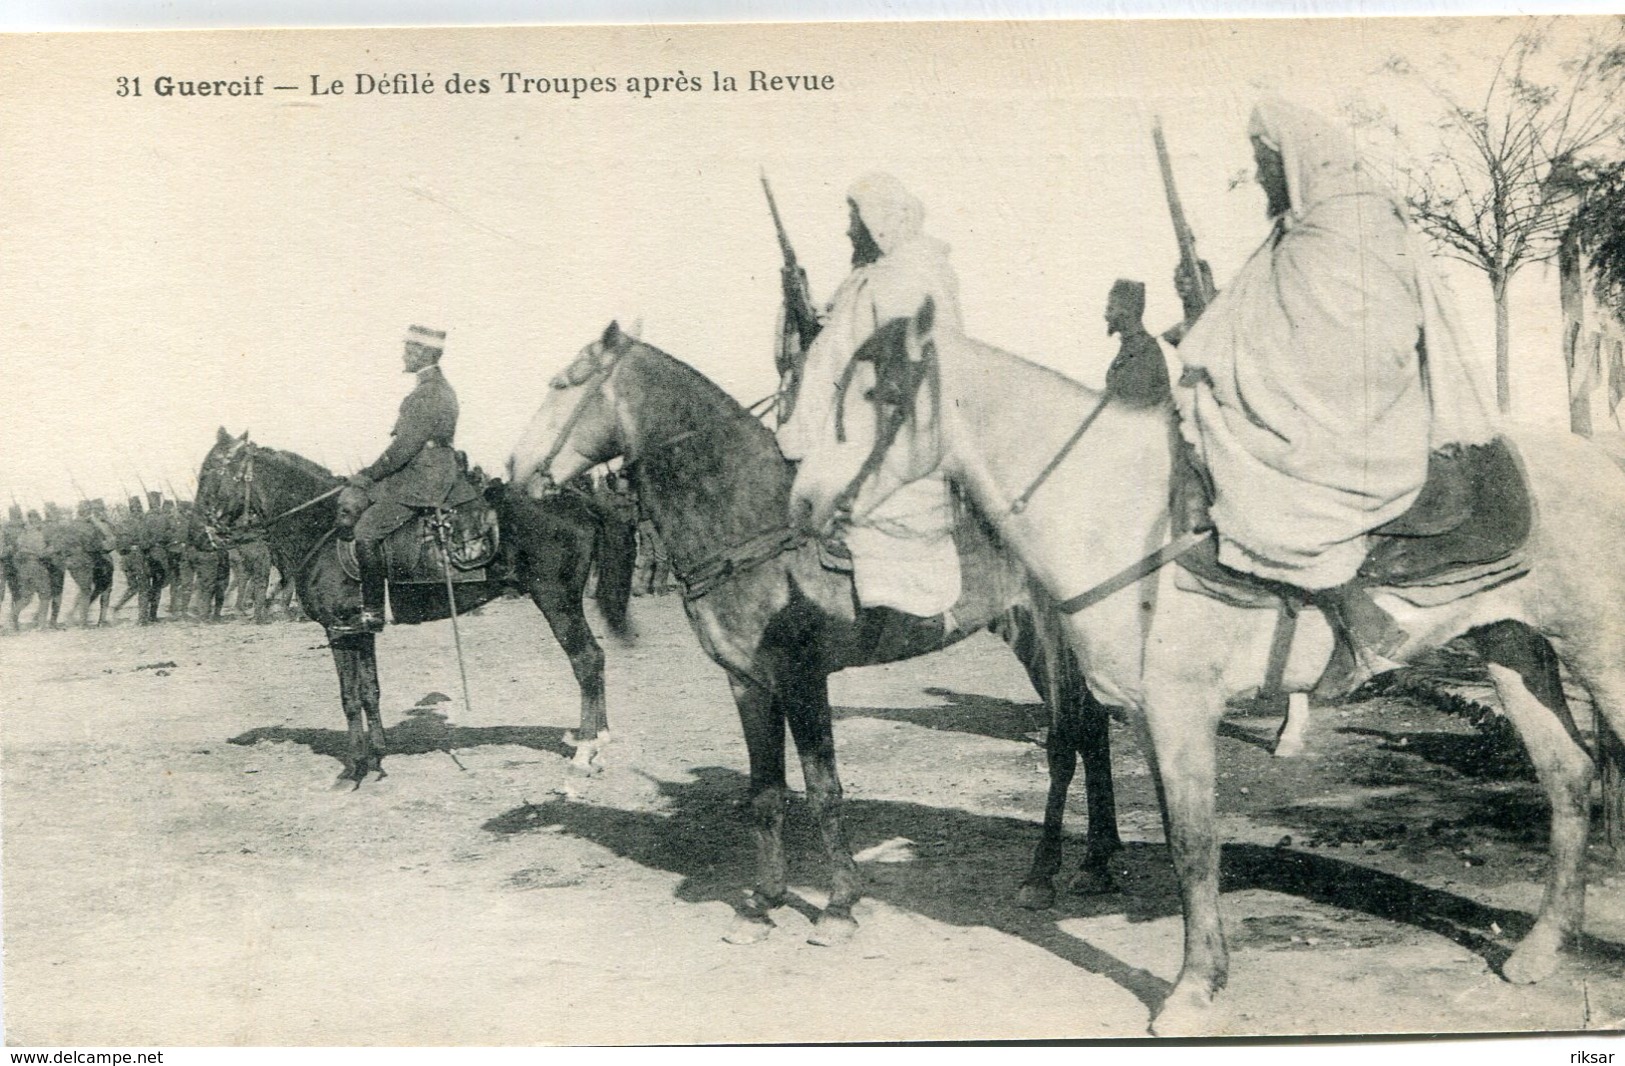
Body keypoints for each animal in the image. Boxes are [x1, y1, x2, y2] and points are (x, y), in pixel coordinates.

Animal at [193, 429, 637, 786]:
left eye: (209, 472)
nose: (199, 534)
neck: (323, 527)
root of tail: (579, 501)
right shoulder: (360, 630)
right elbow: (369, 691)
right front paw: (376, 760)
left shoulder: (339, 630)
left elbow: (349, 697)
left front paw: (352, 769)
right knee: (594, 659)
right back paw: (597, 743)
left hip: (556, 600)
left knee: (586, 660)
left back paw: (586, 751)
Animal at [507, 325, 1118, 942]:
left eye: (566, 383)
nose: (514, 470)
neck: (753, 521)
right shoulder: (749, 683)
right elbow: (766, 794)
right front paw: (762, 903)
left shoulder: (803, 679)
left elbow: (823, 790)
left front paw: (839, 906)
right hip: (1033, 639)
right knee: (1092, 733)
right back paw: (1095, 864)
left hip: (1053, 640)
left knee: (1067, 740)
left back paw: (1043, 875)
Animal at [789, 299, 1625, 1033]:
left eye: (880, 395)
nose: (802, 504)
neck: (1119, 514)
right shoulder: (1145, 715)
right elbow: (1173, 833)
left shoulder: (1180, 710)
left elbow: (1194, 848)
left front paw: (1189, 995)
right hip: (1513, 649)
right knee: (1568, 778)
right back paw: (1537, 954)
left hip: (1599, 659)